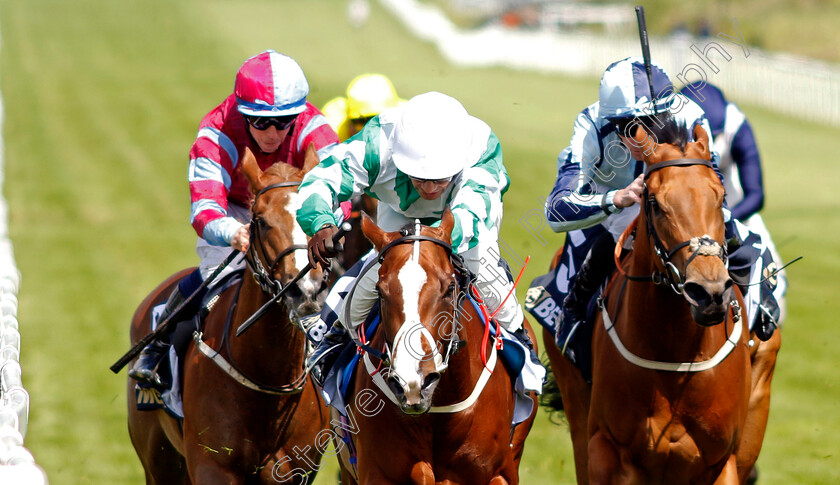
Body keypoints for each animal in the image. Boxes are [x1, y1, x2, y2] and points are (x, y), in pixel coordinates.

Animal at [334, 212, 540, 484]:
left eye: (449, 288)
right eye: (380, 291)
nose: (412, 383)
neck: (440, 409)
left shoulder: (499, 473)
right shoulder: (379, 472)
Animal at [544, 123, 780, 482]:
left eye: (721, 196)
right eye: (654, 202)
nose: (708, 292)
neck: (674, 356)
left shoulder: (722, 461)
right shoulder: (605, 449)